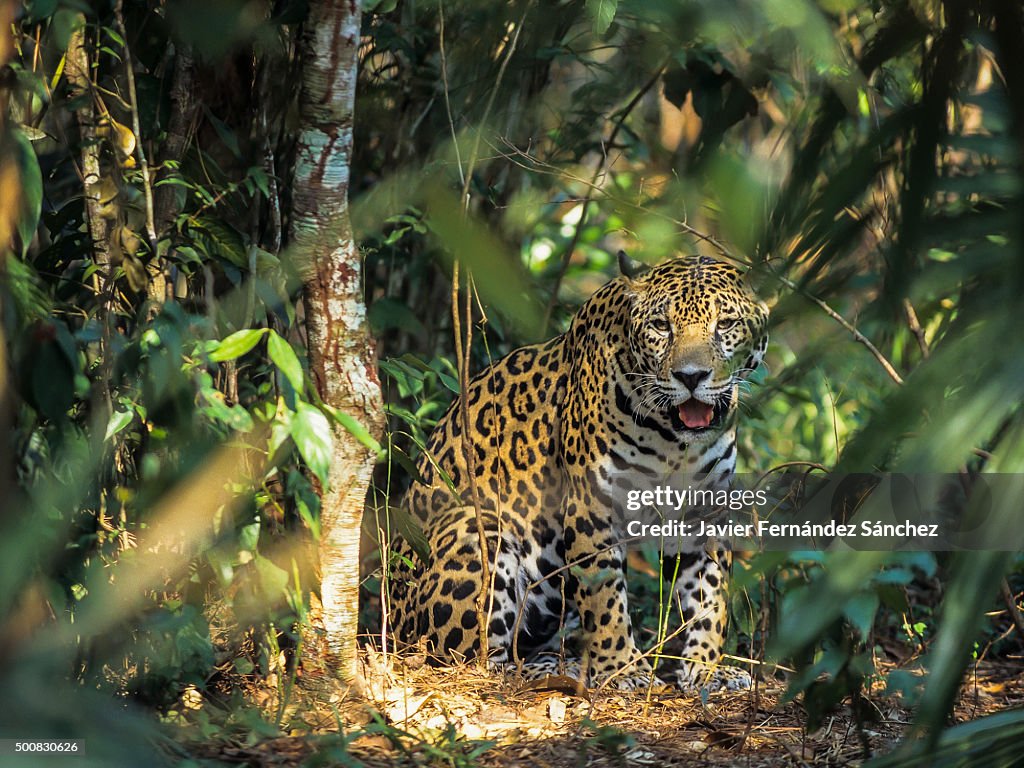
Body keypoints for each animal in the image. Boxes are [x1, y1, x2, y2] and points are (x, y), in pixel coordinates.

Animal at [387, 254, 769, 692]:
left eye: (726, 324)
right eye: (661, 325)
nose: (691, 377)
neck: (674, 439)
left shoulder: (706, 513)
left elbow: (711, 596)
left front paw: (706, 668)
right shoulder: (592, 508)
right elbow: (605, 598)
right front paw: (623, 668)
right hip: (476, 527)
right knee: (476, 662)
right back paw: (558, 670)